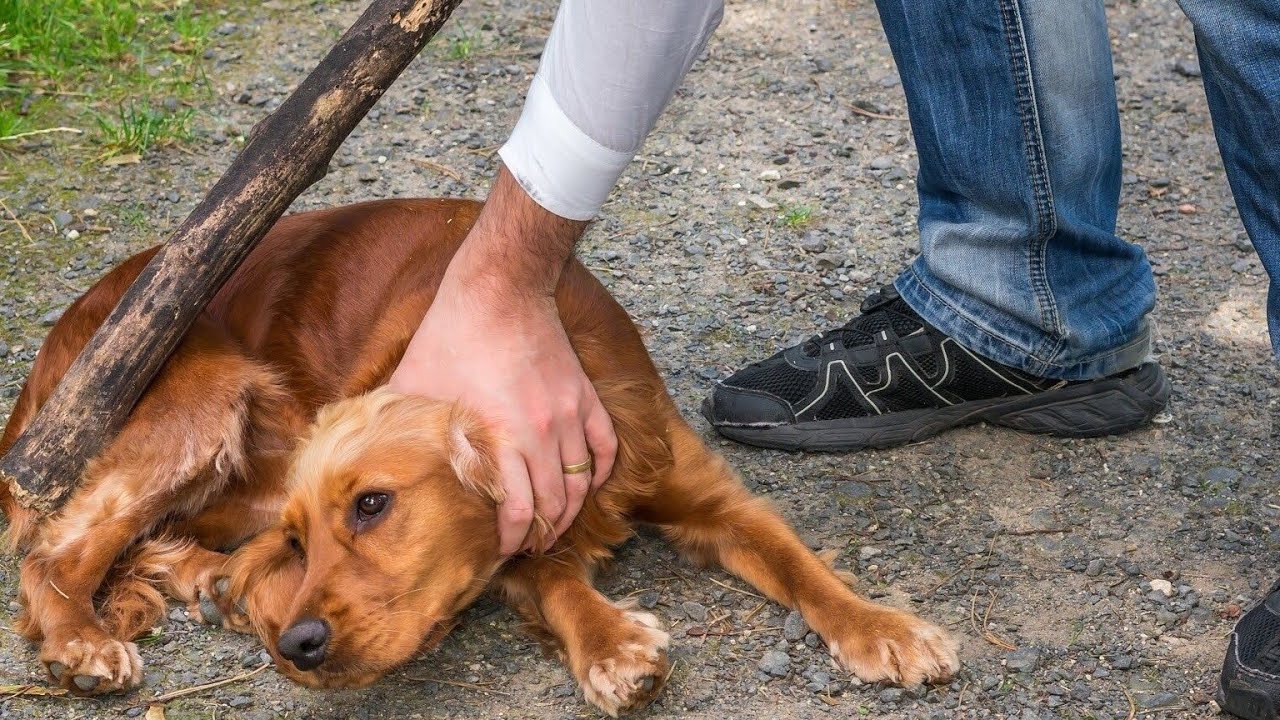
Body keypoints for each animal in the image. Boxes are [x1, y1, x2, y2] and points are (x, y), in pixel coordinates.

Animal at [0, 196, 957, 712]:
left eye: (373, 505)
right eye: (309, 539)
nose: (299, 646)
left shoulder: (710, 497)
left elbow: (802, 566)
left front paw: (884, 627)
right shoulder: (514, 547)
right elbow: (560, 584)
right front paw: (614, 646)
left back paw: (205, 584)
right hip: (205, 398)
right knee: (53, 548)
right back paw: (85, 642)